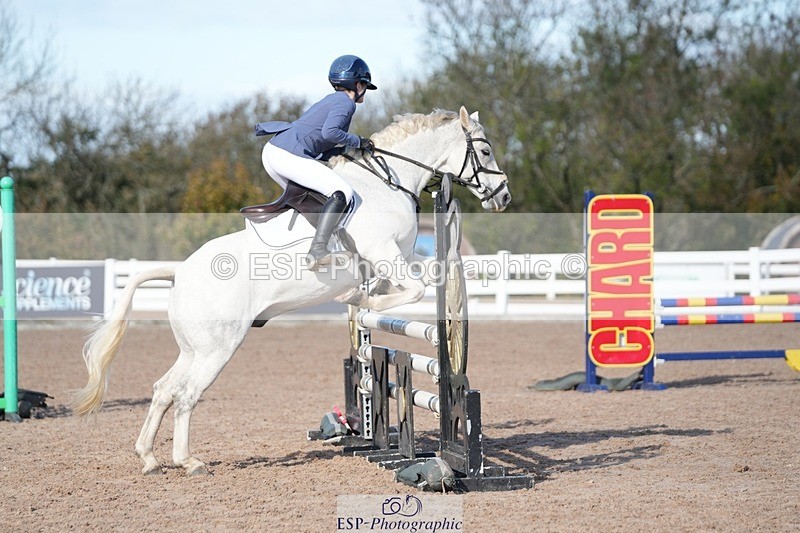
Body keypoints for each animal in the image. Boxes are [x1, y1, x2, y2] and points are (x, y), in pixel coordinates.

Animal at [71, 106, 511, 475]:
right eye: (485, 151)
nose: (504, 197)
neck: (389, 183)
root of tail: (180, 272)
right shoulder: (385, 254)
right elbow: (414, 289)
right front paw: (358, 299)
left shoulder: (392, 259)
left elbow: (418, 280)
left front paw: (364, 301)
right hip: (217, 349)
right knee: (187, 395)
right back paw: (188, 461)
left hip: (193, 348)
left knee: (165, 390)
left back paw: (149, 458)